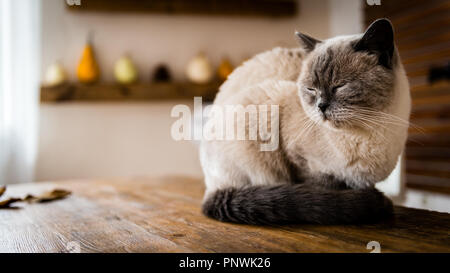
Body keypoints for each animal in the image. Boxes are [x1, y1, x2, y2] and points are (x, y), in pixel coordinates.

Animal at [200, 18, 412, 223]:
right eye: (311, 89)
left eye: (340, 86)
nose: (321, 106)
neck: (370, 130)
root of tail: (209, 185)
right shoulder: (302, 161)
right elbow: (324, 190)